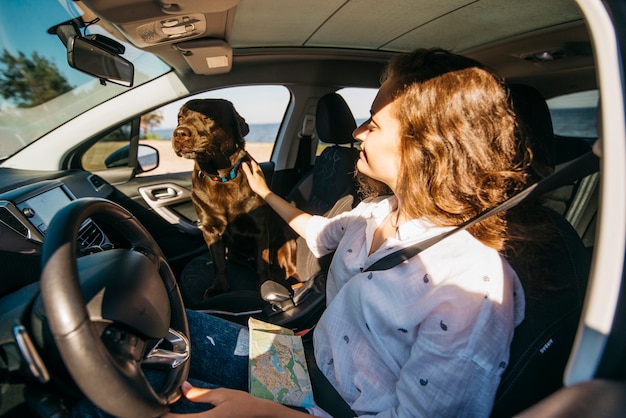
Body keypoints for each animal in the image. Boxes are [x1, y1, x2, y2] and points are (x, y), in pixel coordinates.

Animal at [171, 98, 298, 298]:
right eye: (180, 117)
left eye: (208, 117)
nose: (179, 133)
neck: (223, 178)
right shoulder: (211, 231)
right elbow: (218, 264)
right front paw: (218, 288)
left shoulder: (259, 230)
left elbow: (262, 263)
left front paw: (264, 285)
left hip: (286, 239)